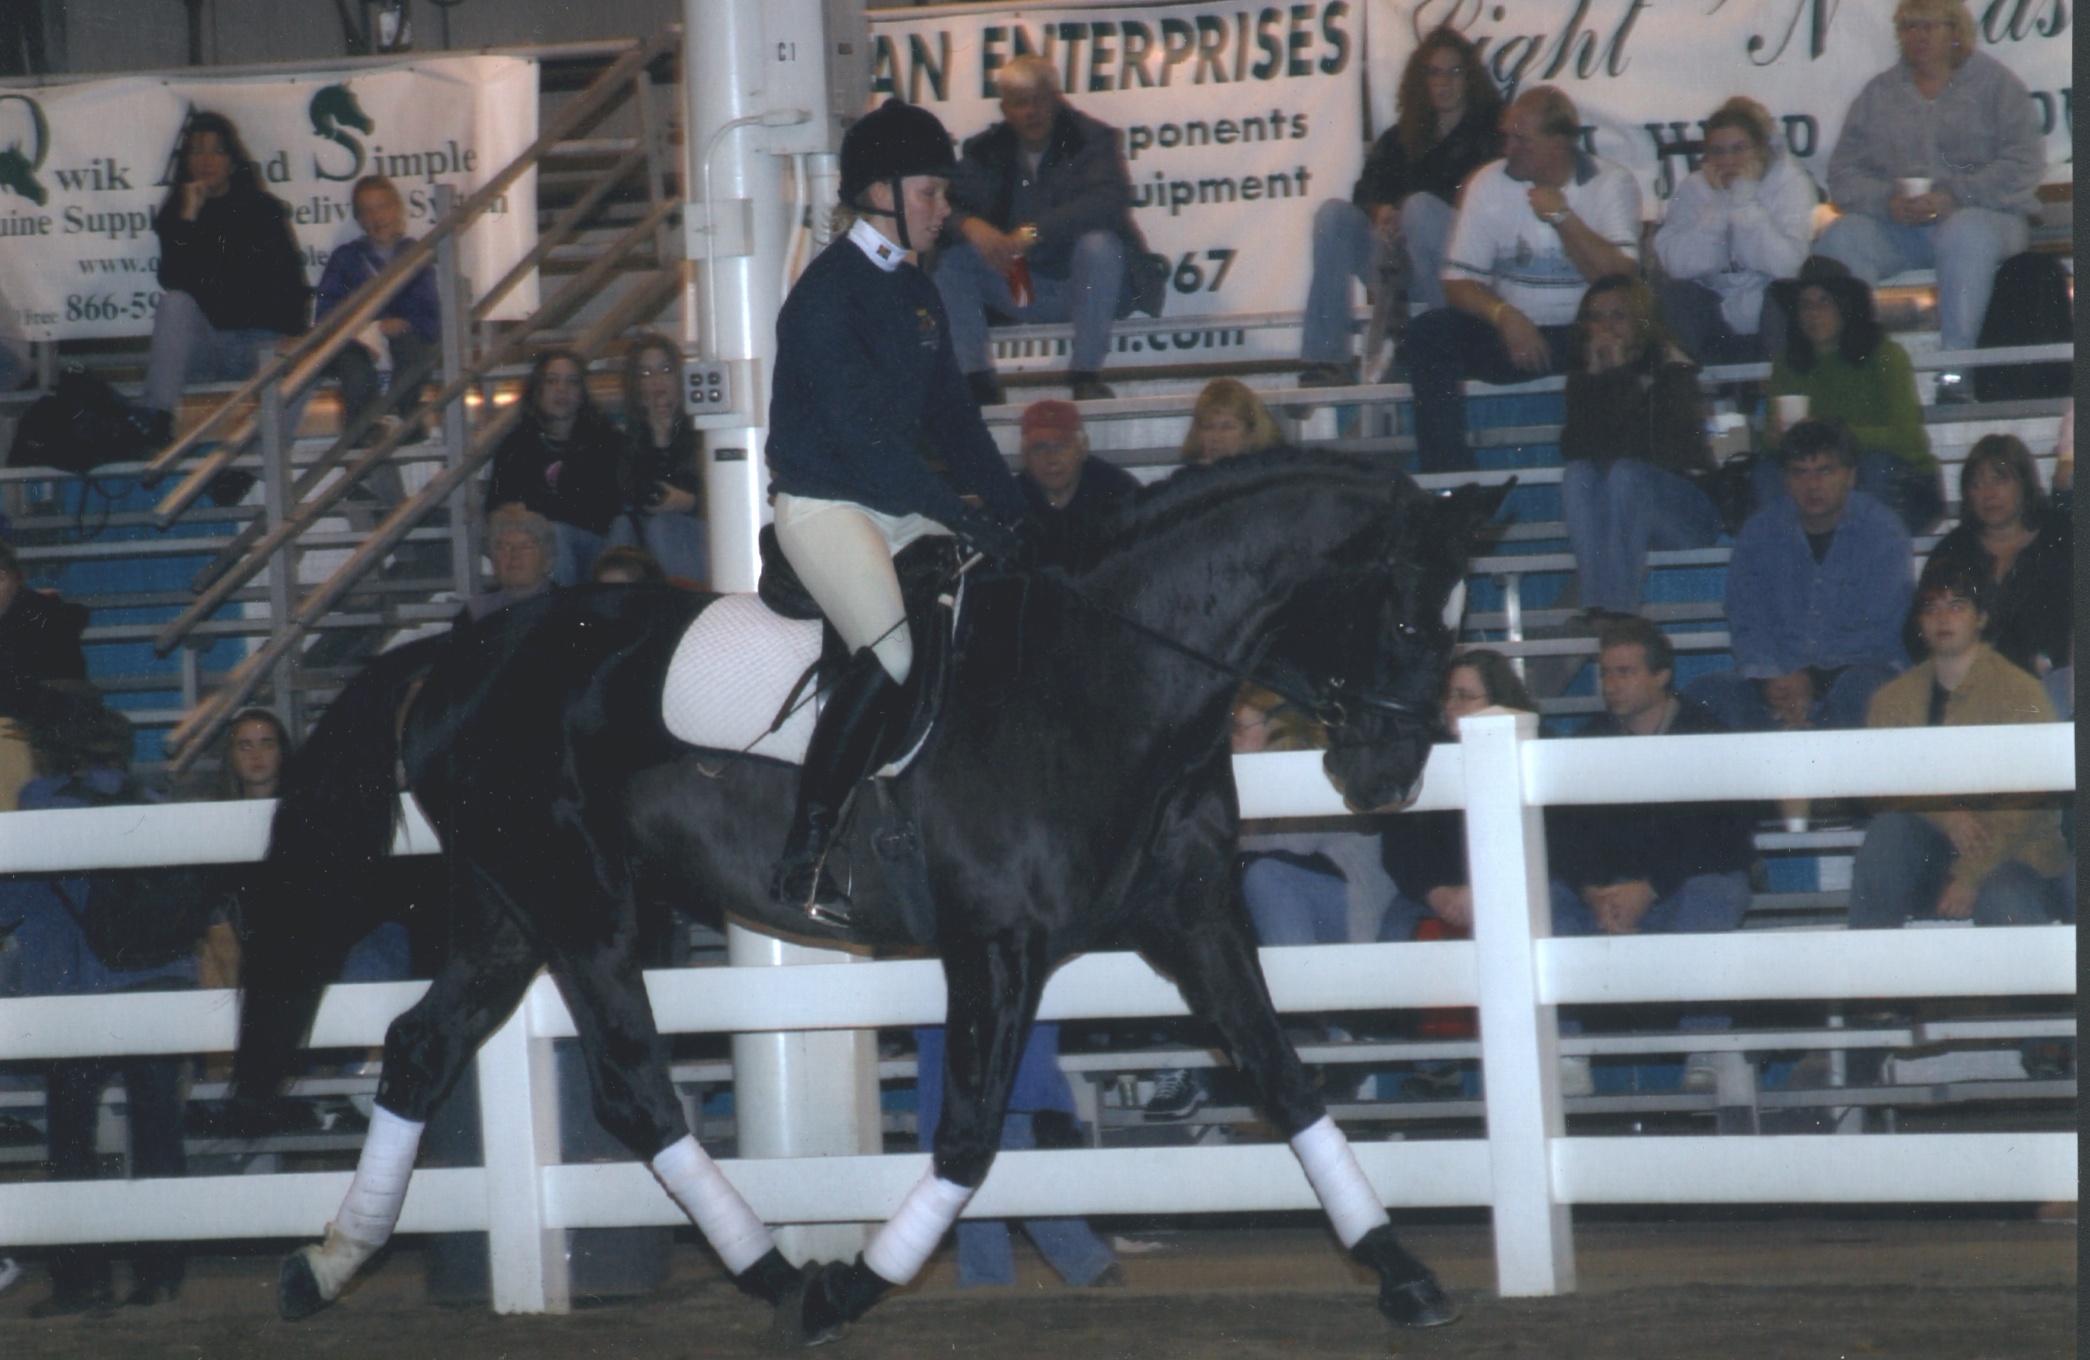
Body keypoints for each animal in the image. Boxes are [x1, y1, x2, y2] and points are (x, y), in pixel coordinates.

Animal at [224, 451, 1504, 1345]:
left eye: (1454, 625)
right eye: (1402, 615)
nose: (1386, 782)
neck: (1108, 676)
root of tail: (458, 650)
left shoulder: (1191, 922)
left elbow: (1286, 1081)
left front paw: (1403, 1273)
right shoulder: (997, 943)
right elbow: (971, 1133)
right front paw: (848, 1286)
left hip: (508, 908)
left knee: (419, 1047)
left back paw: (323, 1263)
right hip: (578, 905)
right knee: (633, 1088)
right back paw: (774, 1272)